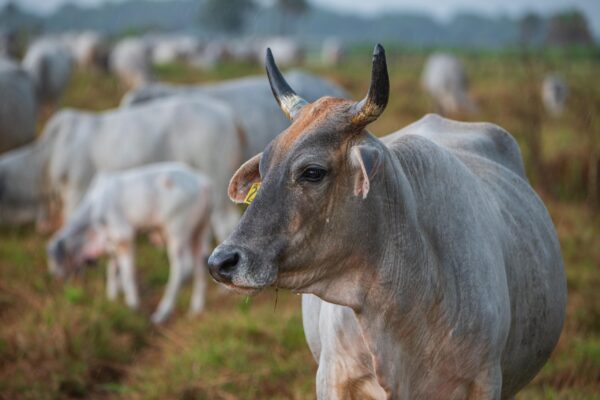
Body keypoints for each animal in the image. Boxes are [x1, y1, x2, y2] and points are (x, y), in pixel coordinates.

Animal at [47, 161, 211, 324]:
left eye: (55, 261)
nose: (57, 278)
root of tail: (203, 182)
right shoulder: (112, 243)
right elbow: (112, 268)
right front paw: (112, 298)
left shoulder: (124, 236)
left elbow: (127, 273)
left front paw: (132, 304)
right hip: (200, 232)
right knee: (200, 263)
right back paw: (196, 310)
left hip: (177, 232)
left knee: (183, 268)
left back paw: (161, 313)